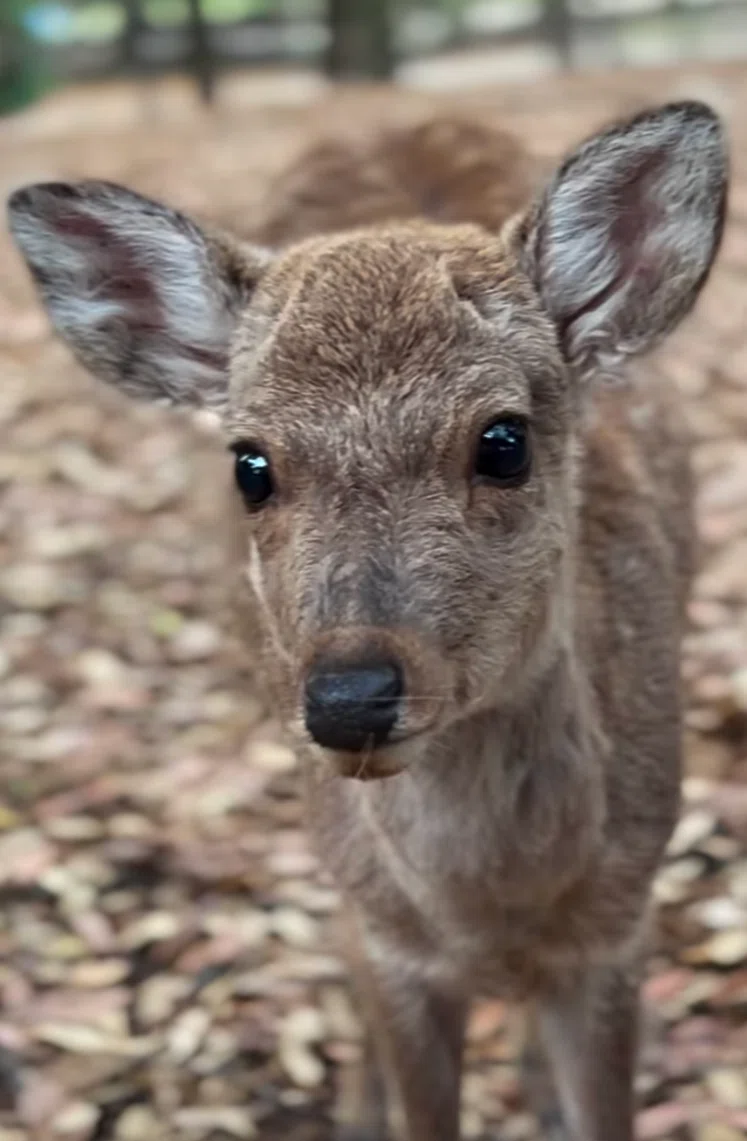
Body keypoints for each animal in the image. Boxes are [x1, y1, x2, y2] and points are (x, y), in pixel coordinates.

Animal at [7, 99, 728, 1141]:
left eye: (502, 440)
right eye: (250, 464)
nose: (349, 698)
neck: (492, 903)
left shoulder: (622, 914)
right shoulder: (393, 937)